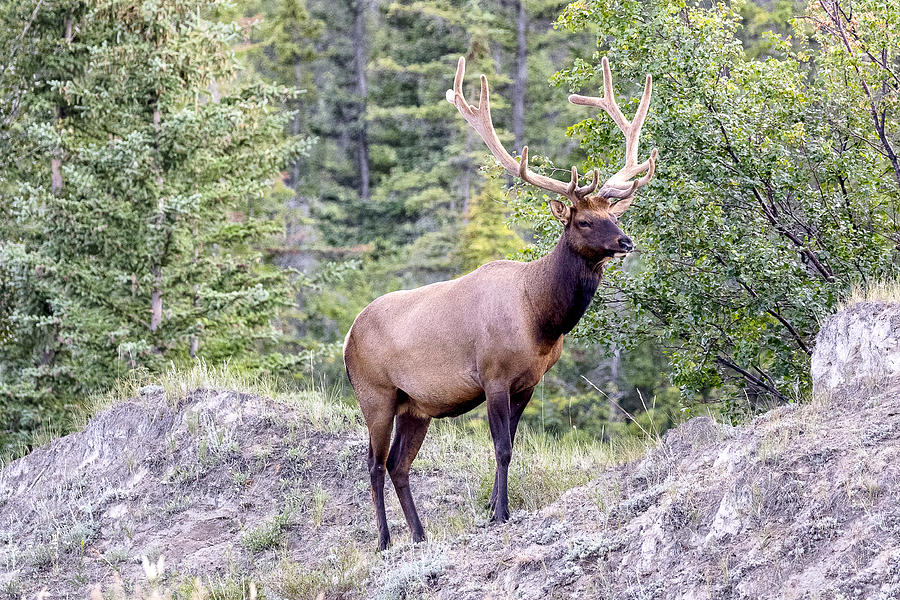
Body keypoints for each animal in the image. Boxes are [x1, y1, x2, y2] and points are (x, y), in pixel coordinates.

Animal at [342, 56, 652, 548]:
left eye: (614, 214)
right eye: (583, 221)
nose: (625, 241)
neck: (541, 320)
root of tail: (347, 337)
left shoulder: (529, 381)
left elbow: (512, 443)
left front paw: (492, 507)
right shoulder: (493, 376)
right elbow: (502, 446)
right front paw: (501, 513)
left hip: (415, 405)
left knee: (398, 464)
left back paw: (420, 535)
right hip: (376, 393)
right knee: (373, 463)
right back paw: (386, 540)